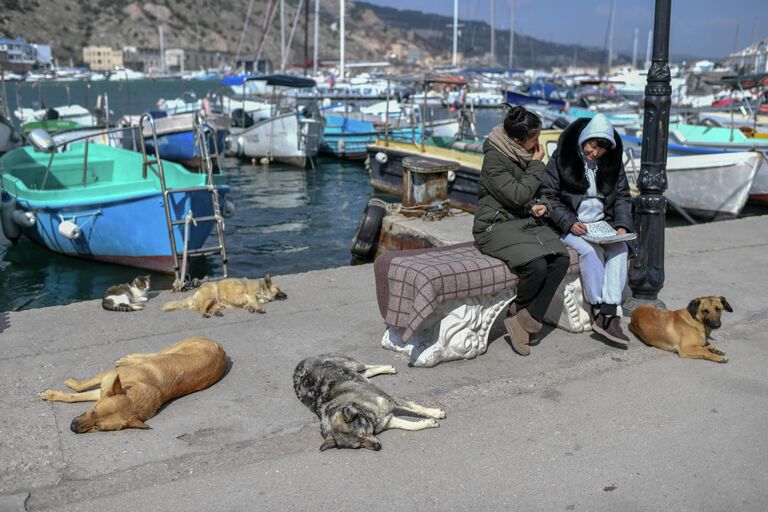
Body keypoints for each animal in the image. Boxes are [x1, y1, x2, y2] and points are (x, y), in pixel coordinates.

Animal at [38, 338, 226, 434]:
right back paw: (129, 359)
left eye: (99, 427)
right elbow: (77, 390)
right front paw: (64, 388)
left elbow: (74, 396)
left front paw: (54, 394)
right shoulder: (106, 380)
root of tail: (221, 349)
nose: (72, 428)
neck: (135, 393)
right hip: (173, 349)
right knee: (152, 355)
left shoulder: (102, 391)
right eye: (93, 411)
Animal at [296, 354, 450, 450]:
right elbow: (409, 426)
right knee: (366, 373)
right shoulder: (388, 420)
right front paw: (428, 423)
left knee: (365, 367)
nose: (377, 447)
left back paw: (388, 367)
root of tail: (300, 363)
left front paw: (435, 413)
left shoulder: (391, 400)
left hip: (352, 363)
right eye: (358, 445)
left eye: (362, 434)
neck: (364, 410)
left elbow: (417, 408)